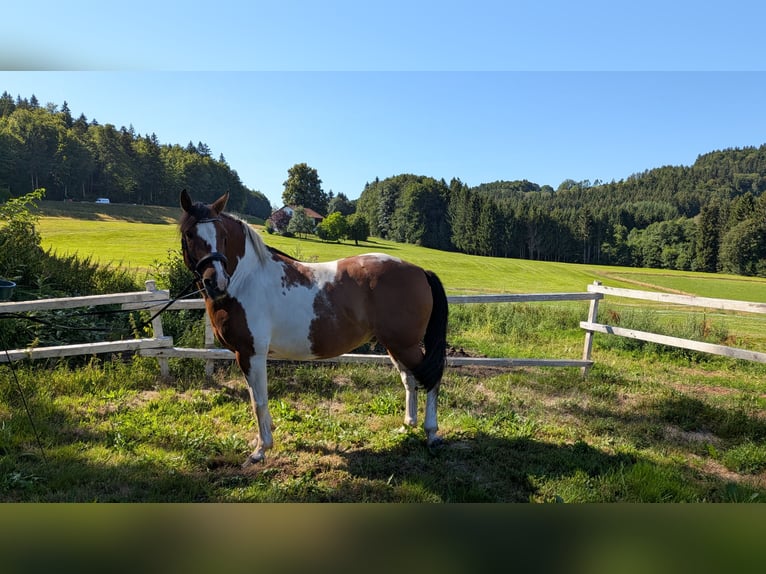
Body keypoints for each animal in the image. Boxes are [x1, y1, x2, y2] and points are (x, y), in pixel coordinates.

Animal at [179, 190, 449, 466]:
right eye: (189, 234)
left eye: (222, 235)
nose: (216, 282)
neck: (246, 280)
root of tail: (420, 271)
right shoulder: (244, 355)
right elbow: (257, 399)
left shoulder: (250, 354)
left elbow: (259, 402)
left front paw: (261, 450)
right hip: (395, 345)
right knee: (410, 379)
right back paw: (406, 426)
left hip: (406, 345)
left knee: (432, 377)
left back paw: (431, 434)